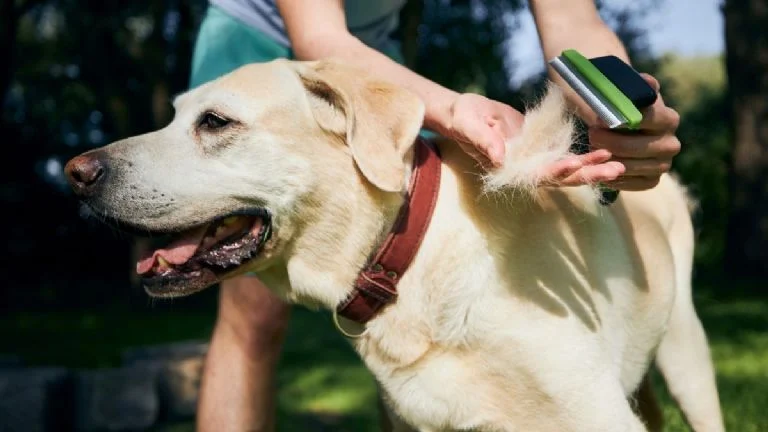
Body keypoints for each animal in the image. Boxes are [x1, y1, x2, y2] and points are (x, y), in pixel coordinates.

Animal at [63, 60, 724, 432]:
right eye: (175, 117)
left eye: (216, 123)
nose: (76, 172)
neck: (409, 253)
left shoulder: (596, 415)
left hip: (686, 354)